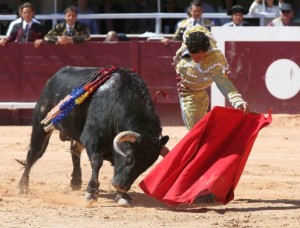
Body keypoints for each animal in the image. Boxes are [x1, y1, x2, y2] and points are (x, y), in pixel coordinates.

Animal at [17, 65, 170, 205]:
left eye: (147, 165)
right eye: (129, 156)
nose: (121, 185)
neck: (117, 103)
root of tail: (53, 77)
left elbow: (114, 166)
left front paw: (123, 196)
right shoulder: (90, 136)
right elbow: (97, 161)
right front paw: (91, 193)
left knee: (74, 150)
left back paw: (76, 181)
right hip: (41, 125)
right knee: (34, 153)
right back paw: (23, 186)